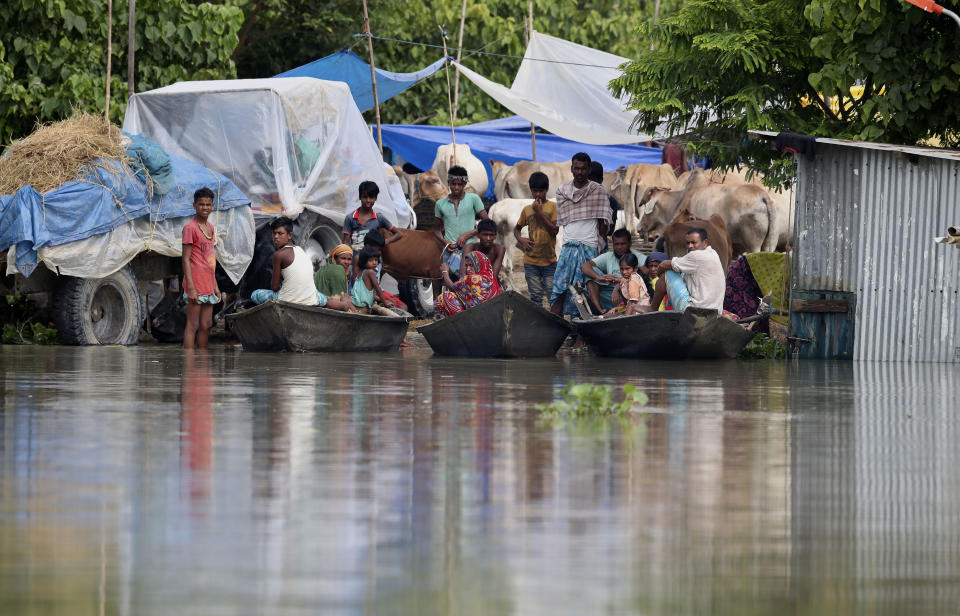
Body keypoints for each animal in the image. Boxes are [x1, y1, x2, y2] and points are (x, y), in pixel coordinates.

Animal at [636, 167, 780, 256]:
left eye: (647, 207)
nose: (638, 228)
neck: (680, 199)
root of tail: (763, 195)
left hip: (753, 247)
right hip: (769, 245)